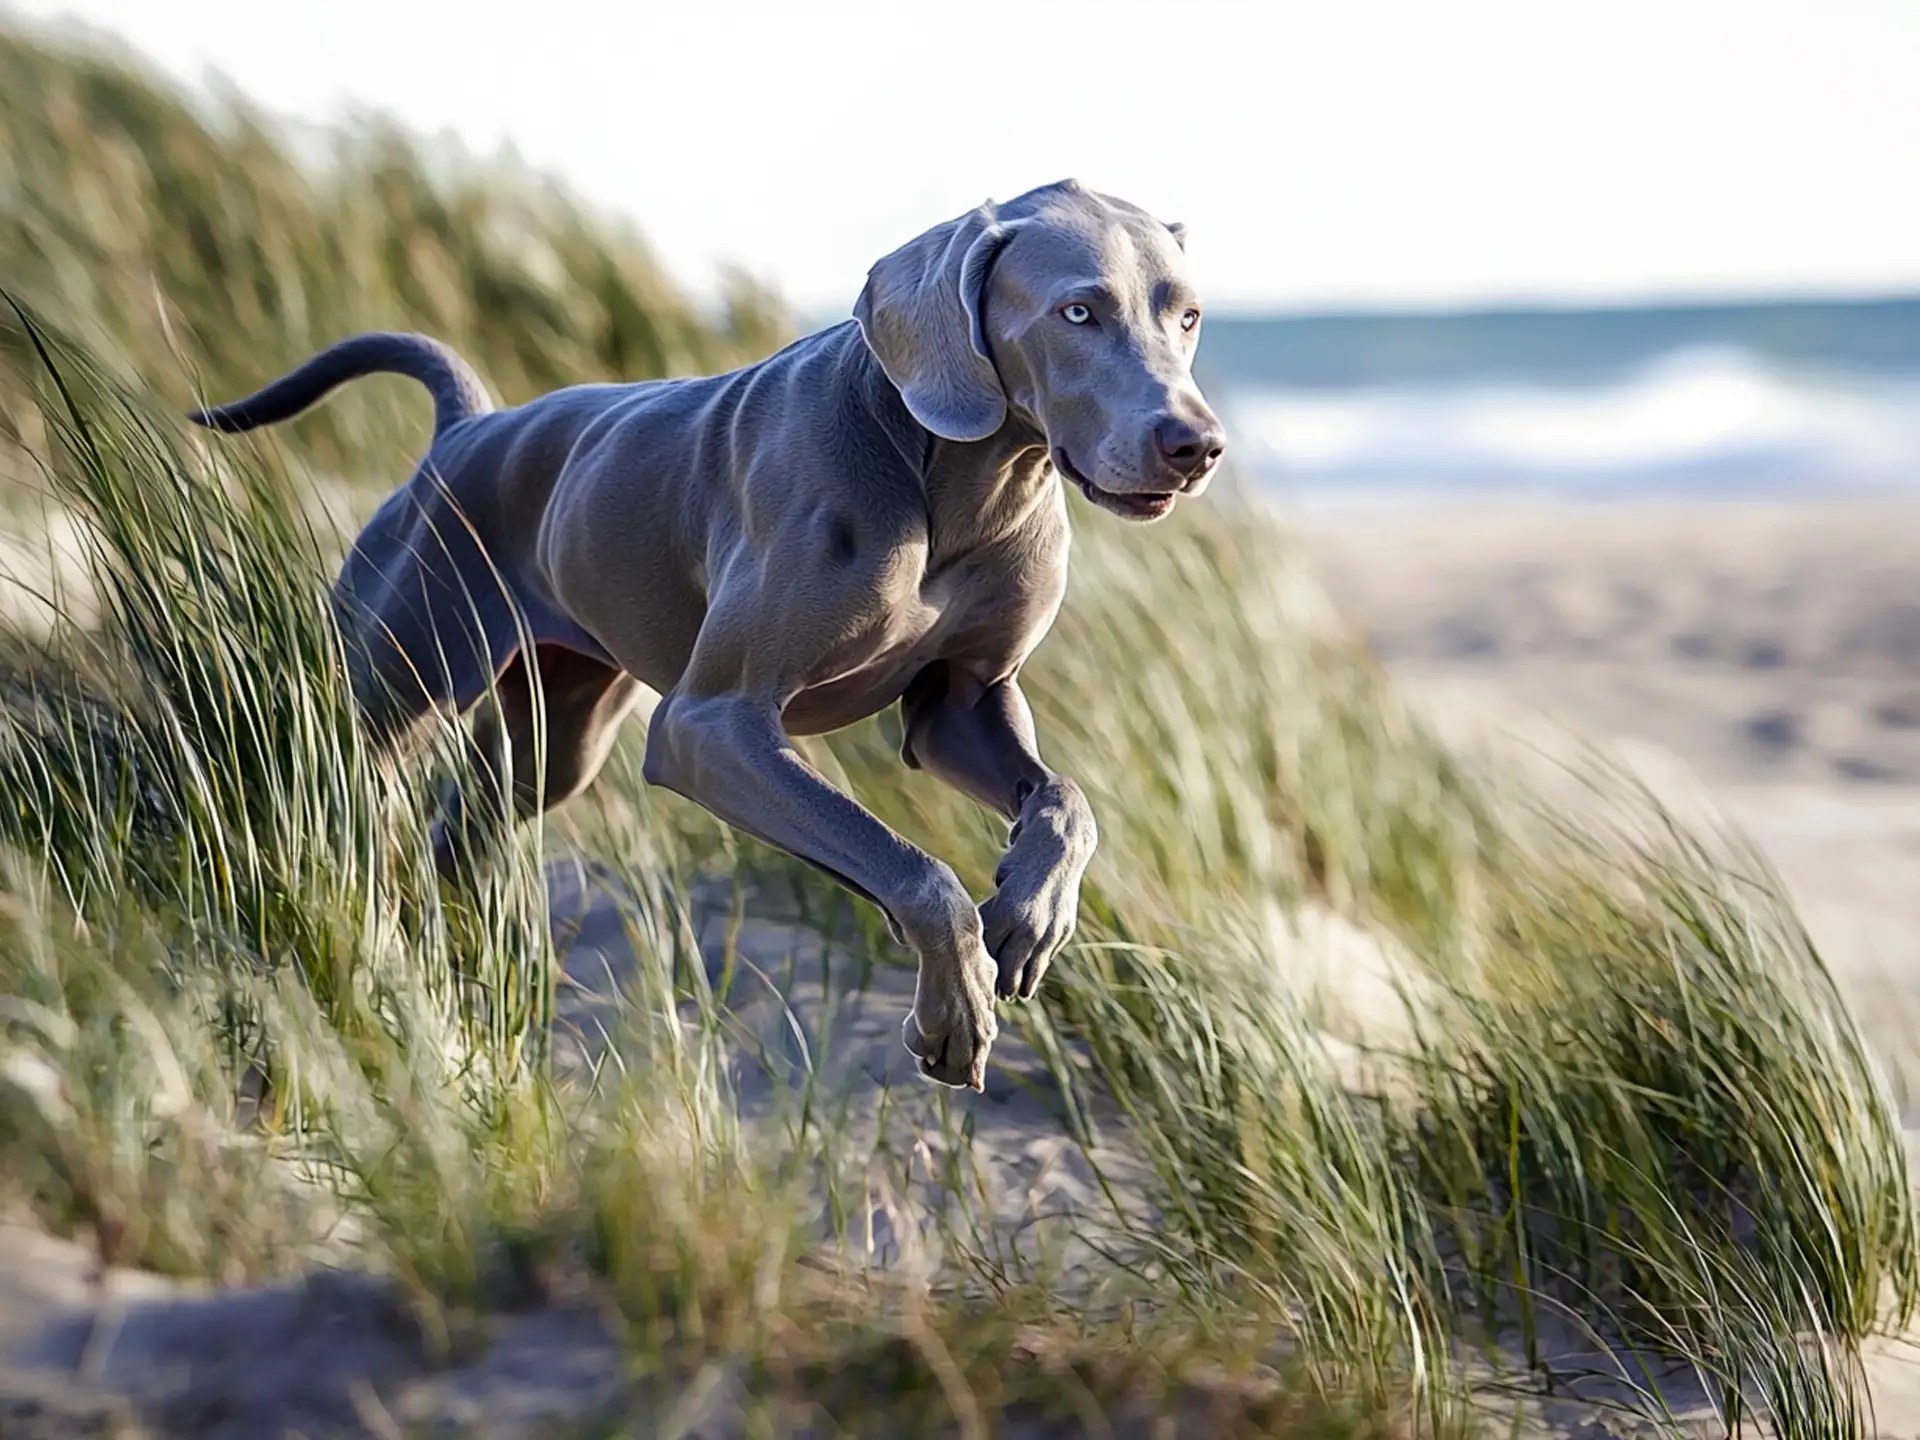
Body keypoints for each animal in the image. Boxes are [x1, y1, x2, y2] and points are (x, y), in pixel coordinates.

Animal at [194, 174, 1228, 1090]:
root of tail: (466, 430)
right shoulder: (710, 727)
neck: (958, 473)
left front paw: (1029, 912)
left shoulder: (962, 704)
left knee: (465, 828)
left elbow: (1064, 801)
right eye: (1079, 311)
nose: (1198, 446)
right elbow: (912, 870)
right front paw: (957, 1011)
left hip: (557, 735)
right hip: (395, 678)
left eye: (1187, 316)